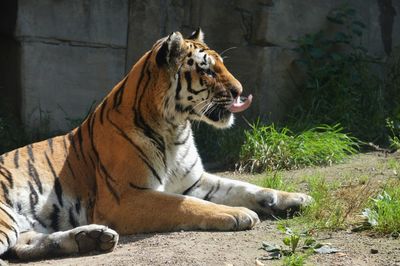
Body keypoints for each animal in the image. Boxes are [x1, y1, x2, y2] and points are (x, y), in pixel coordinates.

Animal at [0, 29, 310, 260]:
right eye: (208, 71)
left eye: (222, 65)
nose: (239, 91)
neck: (176, 128)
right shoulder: (126, 197)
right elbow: (187, 205)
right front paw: (238, 213)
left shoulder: (193, 180)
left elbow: (245, 187)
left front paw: (295, 198)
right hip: (5, 217)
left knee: (24, 246)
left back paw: (91, 238)